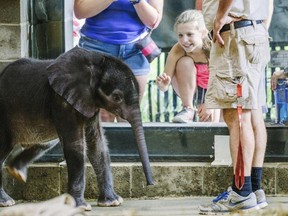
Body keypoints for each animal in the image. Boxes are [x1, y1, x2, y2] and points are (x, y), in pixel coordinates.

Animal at [0, 46, 153, 210]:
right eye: (117, 97)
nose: (150, 184)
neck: (94, 61)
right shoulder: (61, 100)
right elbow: (75, 146)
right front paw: (80, 207)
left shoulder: (89, 102)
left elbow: (97, 145)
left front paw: (112, 202)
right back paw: (6, 201)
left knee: (45, 143)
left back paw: (17, 173)